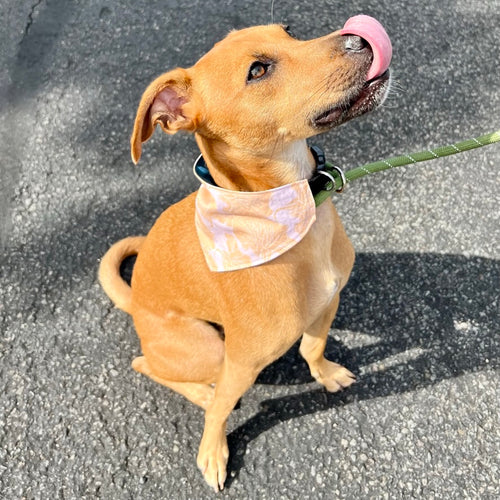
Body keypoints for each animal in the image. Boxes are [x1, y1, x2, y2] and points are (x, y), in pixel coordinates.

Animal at [99, 17, 392, 490]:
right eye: (257, 71)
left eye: (289, 31)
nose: (360, 37)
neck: (295, 212)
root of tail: (136, 303)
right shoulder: (238, 361)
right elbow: (219, 413)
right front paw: (212, 451)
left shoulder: (328, 304)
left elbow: (312, 348)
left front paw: (326, 374)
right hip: (207, 348)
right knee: (146, 364)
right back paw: (204, 391)